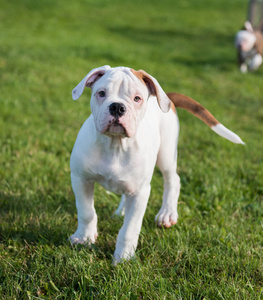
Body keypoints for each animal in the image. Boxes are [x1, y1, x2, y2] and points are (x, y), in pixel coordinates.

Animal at [69, 66, 245, 264]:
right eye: (101, 93)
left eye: (137, 98)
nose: (117, 107)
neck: (115, 145)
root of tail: (167, 98)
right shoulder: (80, 179)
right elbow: (86, 212)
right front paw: (84, 237)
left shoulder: (141, 193)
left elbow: (130, 229)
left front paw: (123, 257)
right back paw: (122, 210)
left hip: (166, 155)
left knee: (173, 180)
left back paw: (167, 214)